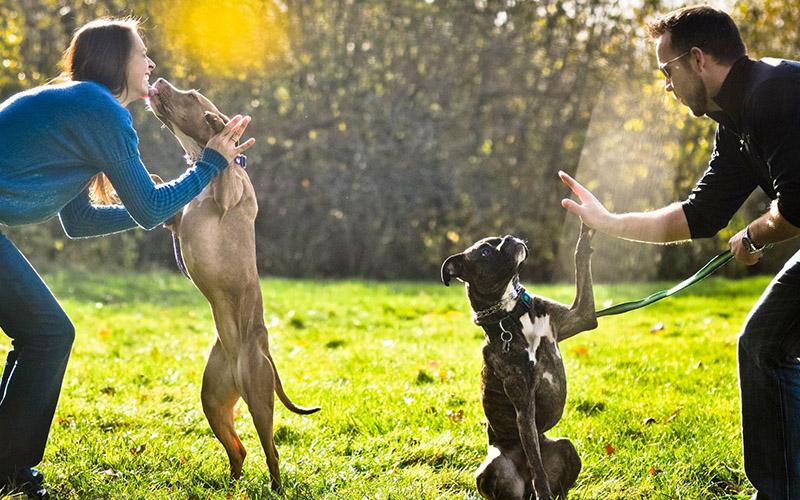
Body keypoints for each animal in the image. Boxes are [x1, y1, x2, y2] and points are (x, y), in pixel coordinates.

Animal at [145, 78, 320, 492]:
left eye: (192, 96)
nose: (158, 80)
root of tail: (260, 348)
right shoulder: (175, 222)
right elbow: (164, 199)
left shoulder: (228, 197)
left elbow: (223, 167)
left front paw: (221, 130)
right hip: (214, 399)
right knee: (238, 450)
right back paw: (232, 485)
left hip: (258, 398)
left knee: (271, 451)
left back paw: (274, 488)